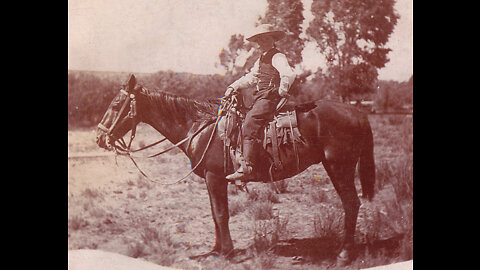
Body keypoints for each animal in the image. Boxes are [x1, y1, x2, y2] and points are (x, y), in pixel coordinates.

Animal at [95, 75, 376, 264]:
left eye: (116, 104)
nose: (99, 137)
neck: (200, 128)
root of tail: (358, 112)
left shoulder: (214, 177)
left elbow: (221, 214)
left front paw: (227, 252)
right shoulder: (211, 180)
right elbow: (214, 214)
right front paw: (215, 249)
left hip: (340, 167)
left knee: (351, 204)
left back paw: (344, 254)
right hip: (333, 166)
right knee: (351, 204)